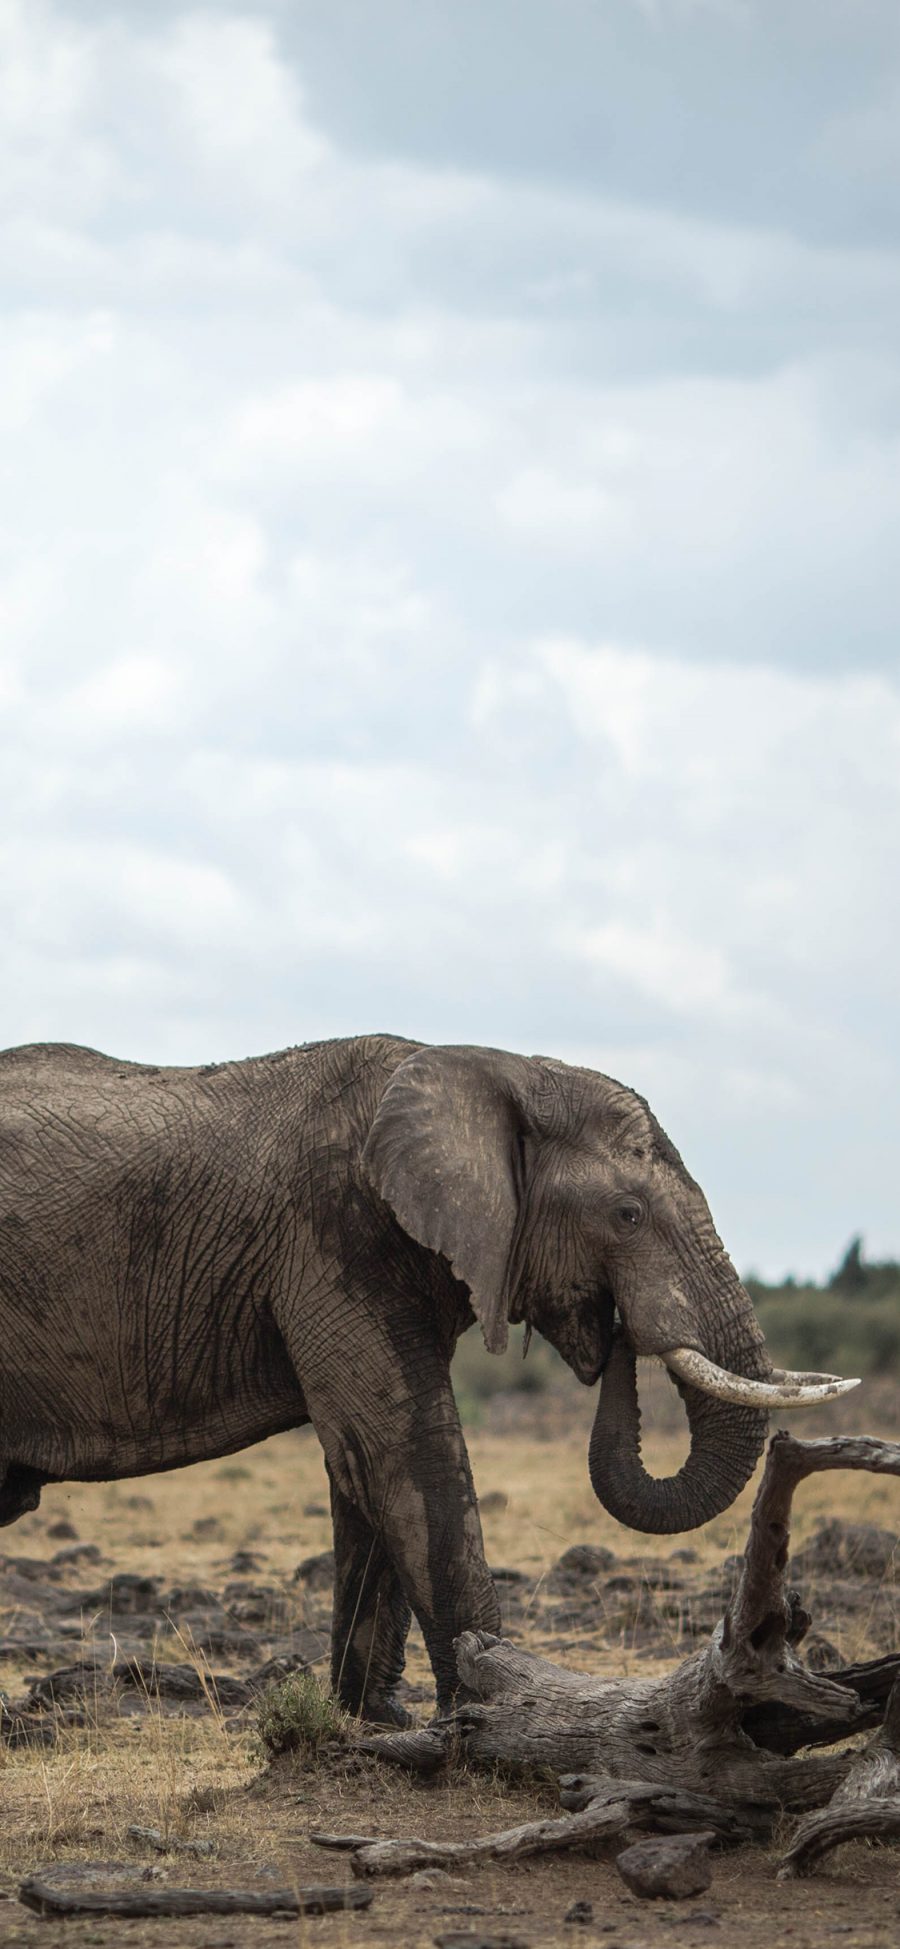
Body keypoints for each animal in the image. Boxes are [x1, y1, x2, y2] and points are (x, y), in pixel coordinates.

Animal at [0, 1036, 849, 1722]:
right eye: (628, 1214)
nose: (613, 1332)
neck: (502, 1069)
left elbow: (362, 1470)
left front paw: (375, 1721)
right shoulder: (336, 1235)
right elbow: (403, 1453)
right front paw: (488, 1715)